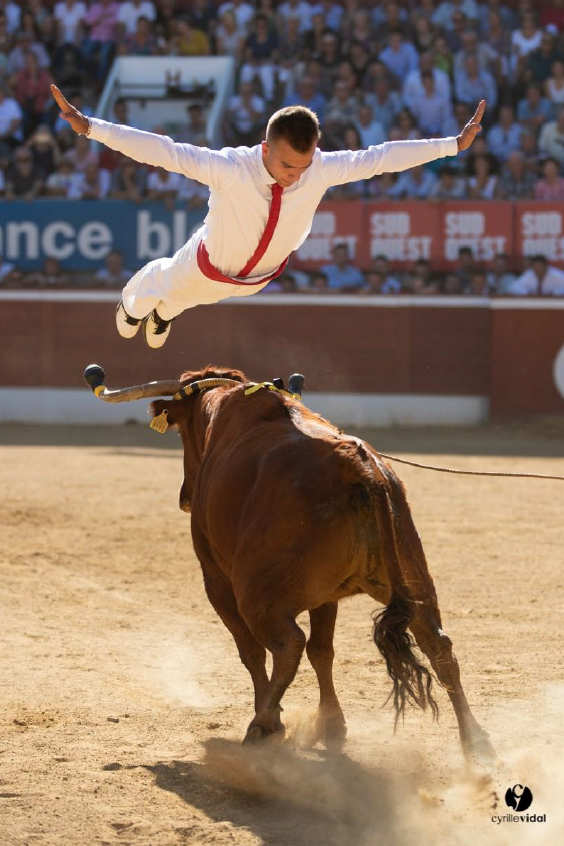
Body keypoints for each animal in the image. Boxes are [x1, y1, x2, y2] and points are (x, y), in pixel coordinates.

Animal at [83, 364, 494, 760]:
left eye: (182, 431)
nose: (185, 495)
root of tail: (357, 465)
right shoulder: (327, 595)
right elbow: (322, 651)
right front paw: (332, 725)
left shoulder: (216, 579)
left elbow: (251, 651)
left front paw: (278, 717)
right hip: (413, 576)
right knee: (436, 643)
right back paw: (476, 742)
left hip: (255, 596)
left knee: (286, 644)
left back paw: (263, 726)